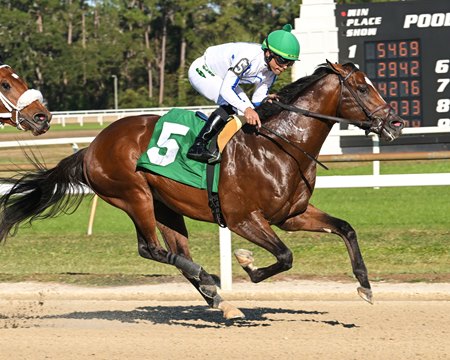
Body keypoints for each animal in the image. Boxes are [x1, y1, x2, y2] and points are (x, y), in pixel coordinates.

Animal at [0, 62, 404, 320]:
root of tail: (90, 148)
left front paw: (365, 286)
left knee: (176, 253)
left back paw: (217, 296)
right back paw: (210, 282)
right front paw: (246, 263)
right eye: (362, 87)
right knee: (151, 249)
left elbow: (345, 228)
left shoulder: (292, 215)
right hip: (134, 196)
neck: (279, 145)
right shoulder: (244, 219)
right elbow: (285, 256)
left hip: (166, 206)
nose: (396, 121)